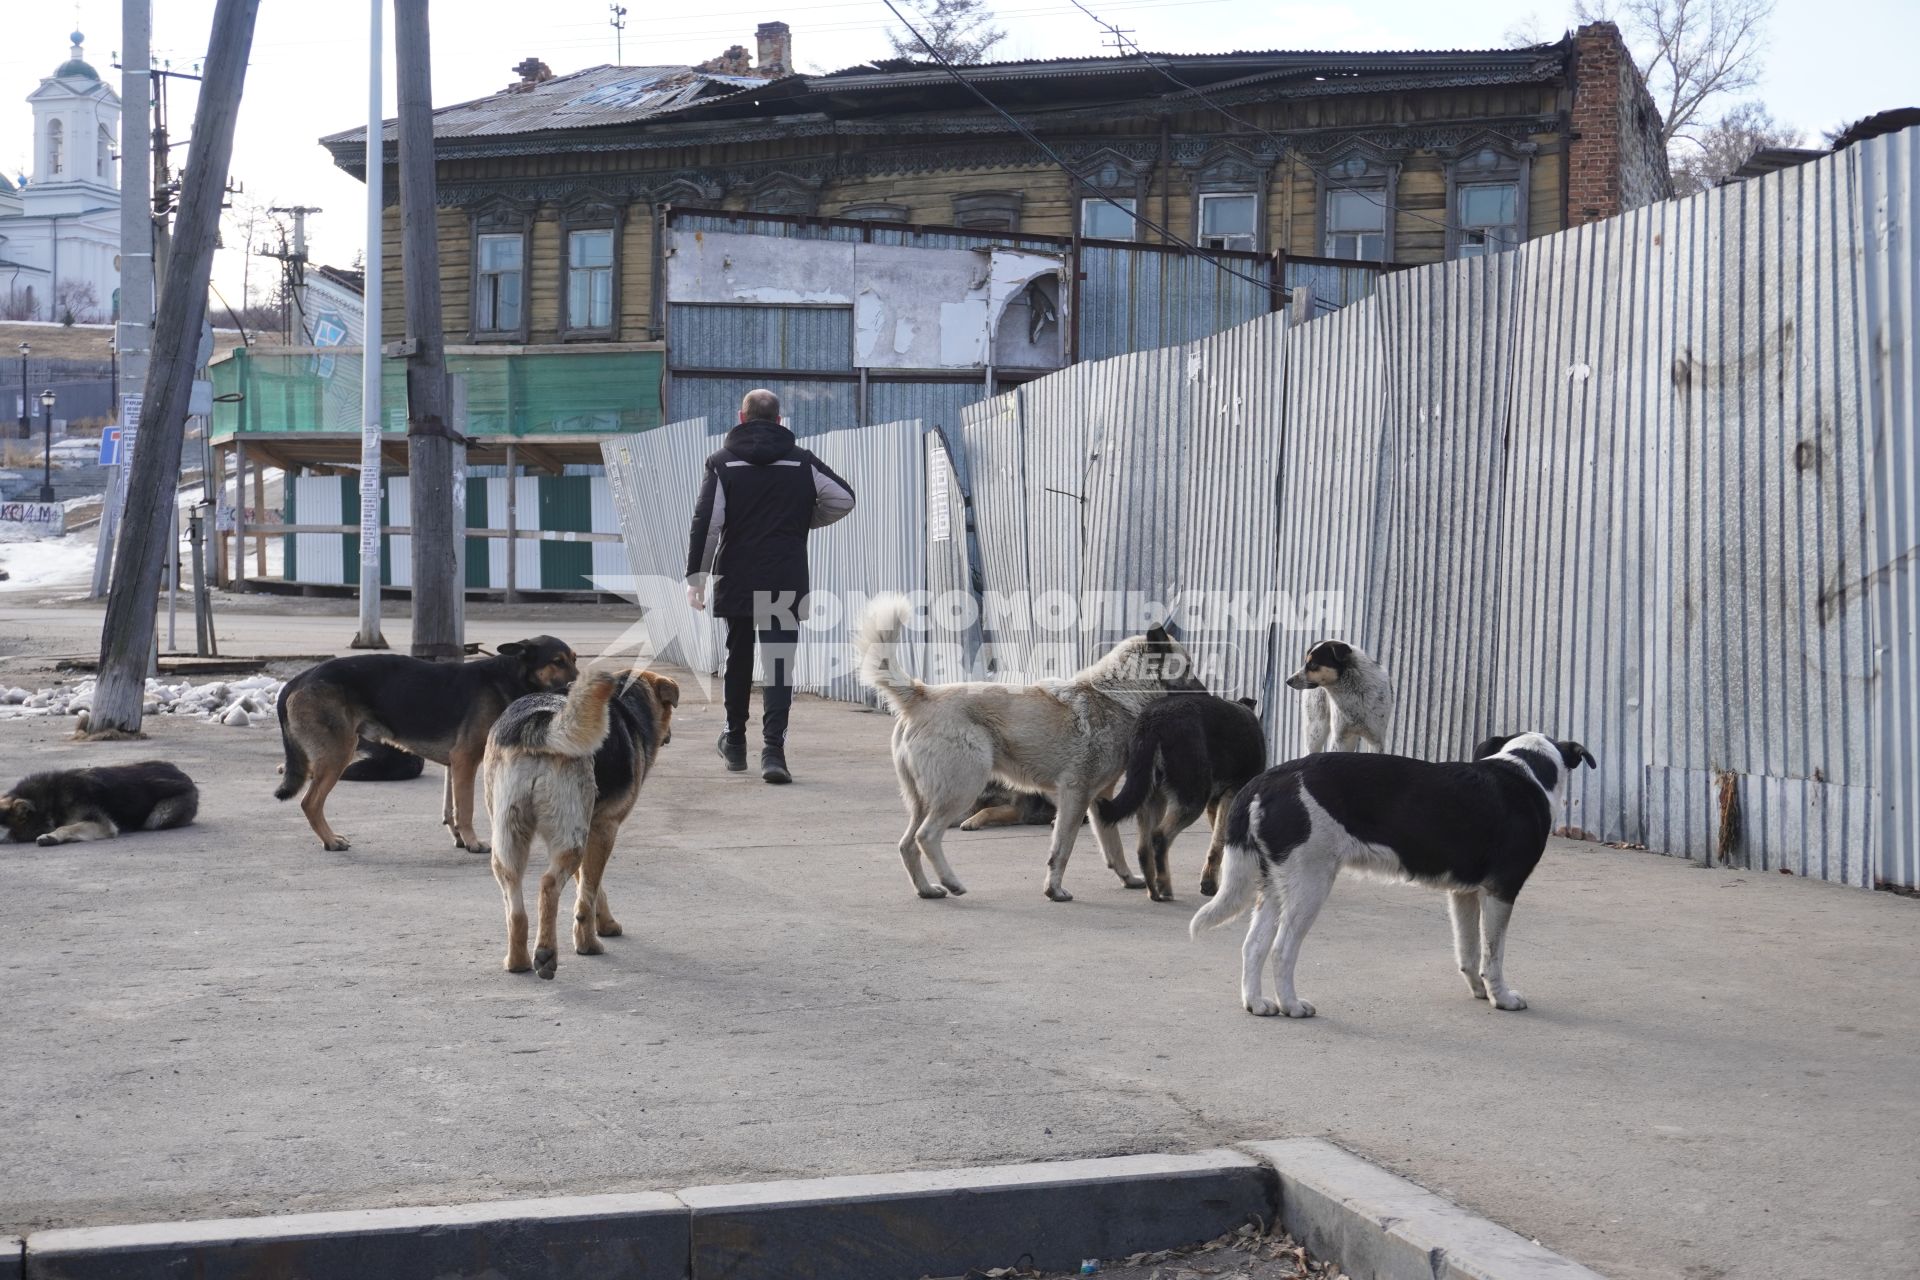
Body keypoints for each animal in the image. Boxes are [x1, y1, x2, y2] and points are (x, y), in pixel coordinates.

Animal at [274, 637, 576, 852]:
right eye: (557, 661)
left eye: (573, 660)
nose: (577, 687)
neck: (510, 676)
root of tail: (299, 679)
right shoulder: (466, 760)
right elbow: (466, 807)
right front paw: (473, 842)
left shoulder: (454, 764)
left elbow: (451, 807)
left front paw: (460, 838)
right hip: (339, 754)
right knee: (310, 803)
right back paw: (330, 840)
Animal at [483, 671, 679, 982]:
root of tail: (535, 724)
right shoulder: (604, 828)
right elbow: (587, 893)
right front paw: (589, 940)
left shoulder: (591, 831)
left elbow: (590, 886)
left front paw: (606, 922)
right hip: (569, 836)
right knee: (548, 885)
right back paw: (548, 954)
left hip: (509, 837)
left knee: (515, 903)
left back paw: (517, 961)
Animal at [860, 594, 1198, 901]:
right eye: (1188, 667)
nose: (1207, 693)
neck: (1117, 695)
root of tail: (923, 694)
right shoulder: (1075, 796)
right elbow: (1063, 848)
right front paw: (1055, 890)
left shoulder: (1099, 799)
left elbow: (1112, 846)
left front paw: (1128, 878)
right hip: (961, 791)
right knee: (926, 837)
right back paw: (951, 882)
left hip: (923, 801)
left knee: (907, 845)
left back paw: (927, 890)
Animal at [1190, 736, 1597, 1013]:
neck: (1526, 771)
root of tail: (1266, 779)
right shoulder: (1501, 890)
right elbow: (1493, 955)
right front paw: (1502, 997)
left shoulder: (1463, 893)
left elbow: (1468, 952)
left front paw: (1479, 991)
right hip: (1310, 882)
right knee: (1281, 949)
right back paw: (1292, 1005)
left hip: (1276, 884)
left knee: (1254, 945)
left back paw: (1257, 1003)